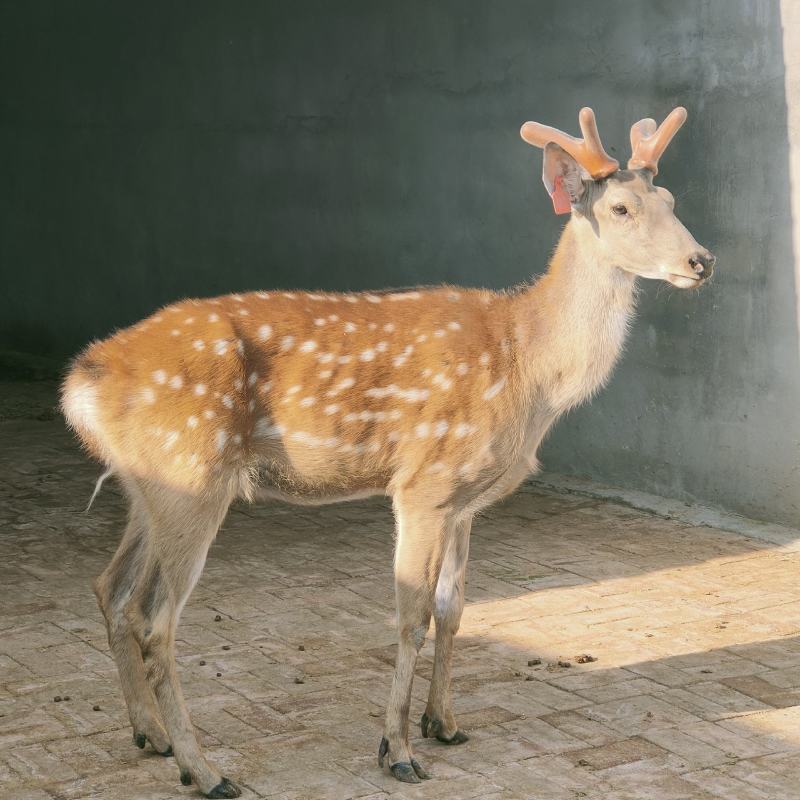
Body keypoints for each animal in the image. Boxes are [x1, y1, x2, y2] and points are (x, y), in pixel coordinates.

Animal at [61, 106, 714, 797]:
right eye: (620, 207)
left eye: (671, 200)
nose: (701, 260)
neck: (528, 366)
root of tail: (82, 379)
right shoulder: (424, 481)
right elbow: (410, 616)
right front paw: (396, 751)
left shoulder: (465, 500)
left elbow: (454, 609)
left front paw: (443, 724)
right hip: (191, 473)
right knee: (157, 621)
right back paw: (204, 768)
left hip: (149, 487)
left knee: (113, 590)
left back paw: (151, 734)